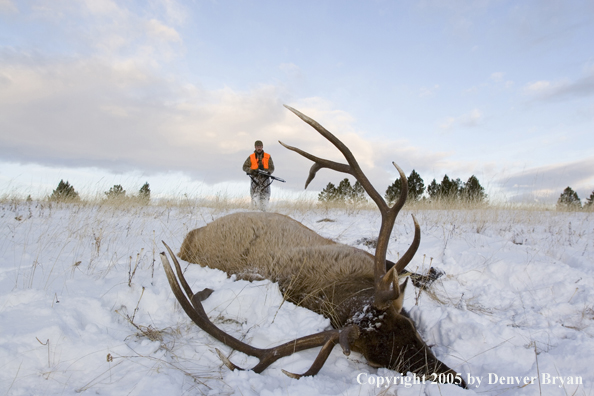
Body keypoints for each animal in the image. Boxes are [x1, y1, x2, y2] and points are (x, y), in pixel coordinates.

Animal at [158, 104, 468, 386]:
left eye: (409, 327)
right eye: (375, 360)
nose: (458, 380)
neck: (349, 284)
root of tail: (188, 239)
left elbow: (411, 272)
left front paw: (434, 273)